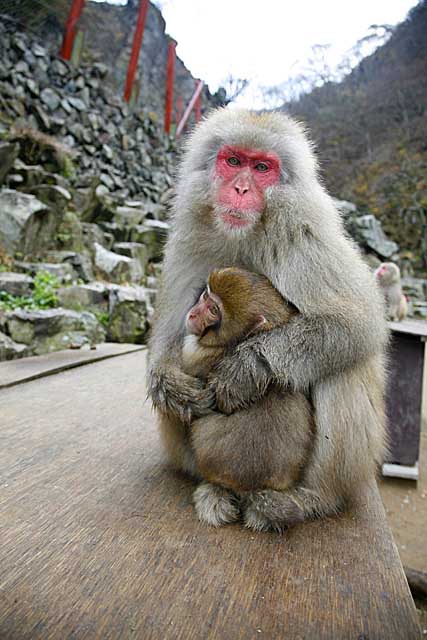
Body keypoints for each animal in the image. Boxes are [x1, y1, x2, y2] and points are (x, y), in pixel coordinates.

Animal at [181, 266, 314, 504]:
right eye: (206, 295)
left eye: (213, 310)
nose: (194, 313)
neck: (231, 342)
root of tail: (249, 486)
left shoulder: (195, 354)